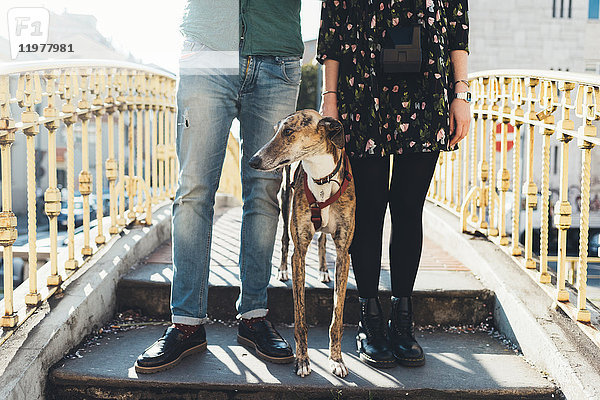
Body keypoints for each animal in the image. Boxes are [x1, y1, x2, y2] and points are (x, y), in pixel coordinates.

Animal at [250, 109, 356, 378]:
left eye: (289, 131)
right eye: (275, 131)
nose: (253, 161)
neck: (321, 178)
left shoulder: (344, 253)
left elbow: (337, 316)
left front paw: (336, 359)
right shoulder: (300, 253)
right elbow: (300, 318)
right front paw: (303, 361)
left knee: (322, 240)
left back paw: (323, 270)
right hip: (286, 202)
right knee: (285, 241)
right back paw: (282, 270)